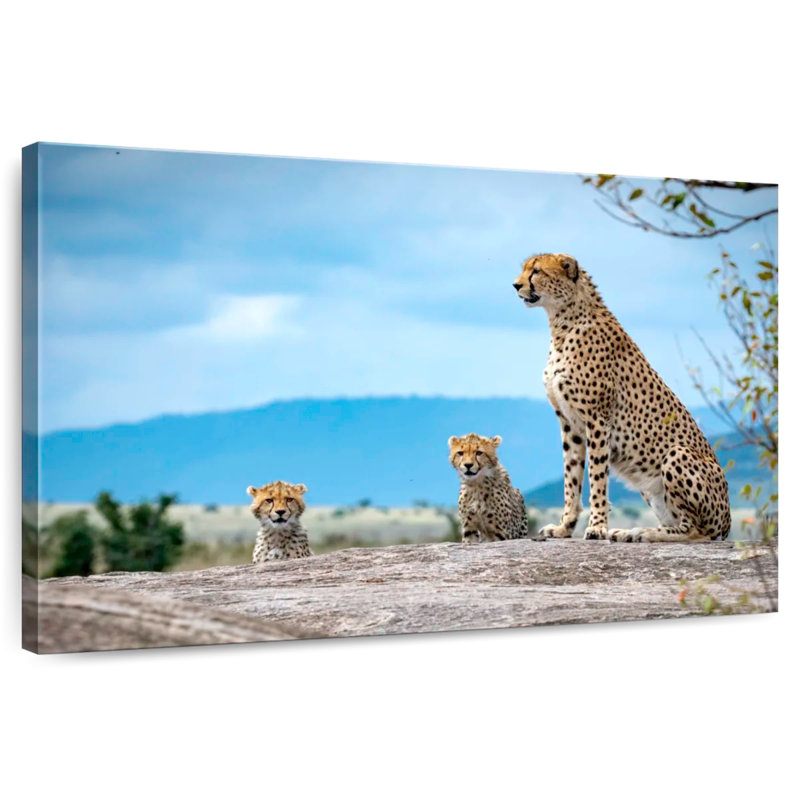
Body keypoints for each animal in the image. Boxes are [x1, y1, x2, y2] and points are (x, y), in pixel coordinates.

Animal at [512, 252, 731, 543]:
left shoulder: (597, 419)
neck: (563, 323)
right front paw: (564, 527)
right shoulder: (569, 425)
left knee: (696, 530)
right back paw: (633, 532)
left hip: (677, 454)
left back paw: (641, 532)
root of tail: (727, 522)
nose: (516, 285)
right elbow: (571, 479)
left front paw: (597, 527)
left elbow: (596, 477)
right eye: (525, 269)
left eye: (536, 271)